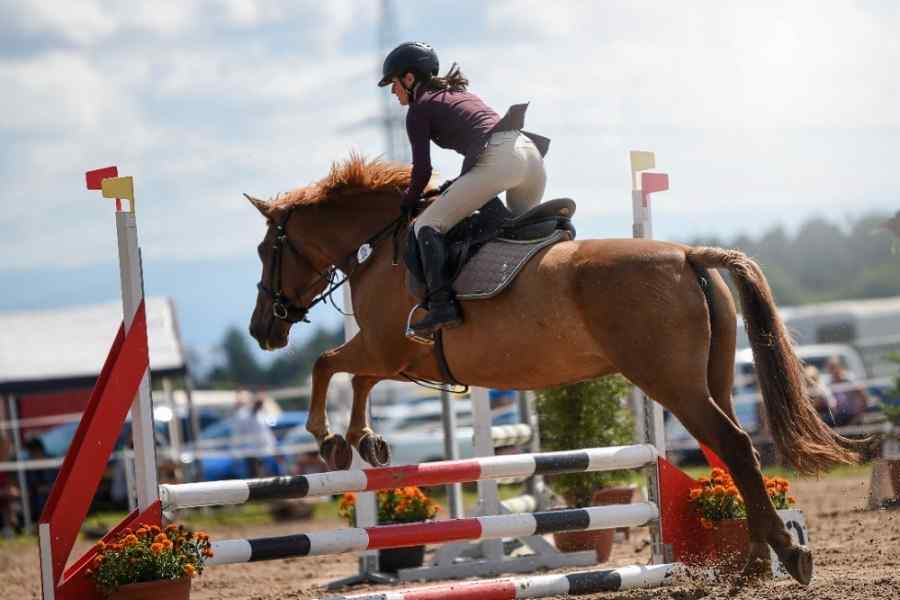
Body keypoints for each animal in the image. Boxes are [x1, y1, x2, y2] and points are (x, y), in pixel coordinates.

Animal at [246, 152, 856, 584]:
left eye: (265, 251)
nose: (261, 331)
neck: (385, 245)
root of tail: (687, 255)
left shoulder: (385, 346)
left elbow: (328, 365)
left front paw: (330, 439)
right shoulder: (397, 356)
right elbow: (356, 378)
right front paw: (366, 441)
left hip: (672, 384)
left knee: (734, 445)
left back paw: (776, 556)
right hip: (713, 379)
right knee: (734, 452)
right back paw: (761, 556)